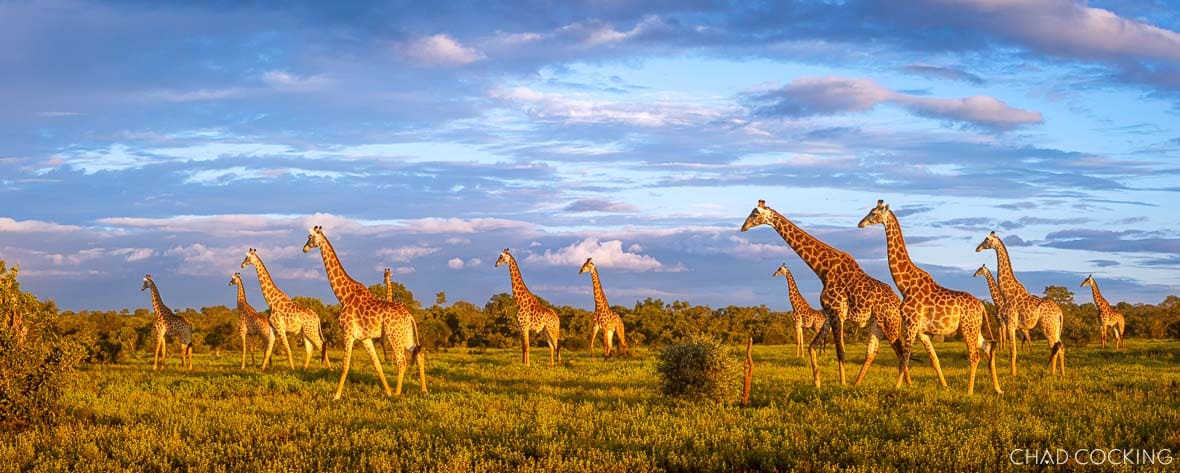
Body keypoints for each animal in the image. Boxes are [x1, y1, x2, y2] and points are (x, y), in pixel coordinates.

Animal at [303, 226, 426, 399]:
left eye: (309, 237)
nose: (304, 248)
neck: (344, 296)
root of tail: (409, 316)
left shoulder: (348, 332)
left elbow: (345, 365)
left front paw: (336, 396)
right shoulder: (365, 338)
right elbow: (377, 364)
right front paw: (387, 392)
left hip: (394, 335)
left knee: (402, 361)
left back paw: (398, 393)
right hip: (406, 335)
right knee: (419, 355)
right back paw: (423, 390)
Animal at [741, 200, 909, 388]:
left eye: (755, 214)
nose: (743, 227)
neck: (823, 270)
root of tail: (898, 304)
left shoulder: (837, 313)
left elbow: (840, 351)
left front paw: (842, 384)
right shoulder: (829, 315)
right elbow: (812, 346)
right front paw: (817, 382)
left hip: (889, 323)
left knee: (901, 353)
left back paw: (900, 386)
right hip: (877, 324)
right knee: (875, 352)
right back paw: (862, 384)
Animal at [859, 201, 1002, 394]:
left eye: (873, 213)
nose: (861, 223)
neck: (905, 286)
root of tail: (981, 306)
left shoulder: (911, 324)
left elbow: (904, 358)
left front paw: (896, 389)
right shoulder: (922, 331)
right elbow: (933, 359)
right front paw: (945, 386)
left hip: (967, 329)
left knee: (974, 356)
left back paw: (969, 391)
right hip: (973, 329)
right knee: (987, 348)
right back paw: (998, 389)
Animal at [976, 231, 1065, 376]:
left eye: (987, 240)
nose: (977, 248)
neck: (1007, 293)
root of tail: (1060, 313)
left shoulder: (1010, 323)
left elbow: (1013, 350)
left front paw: (1013, 374)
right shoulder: (1011, 324)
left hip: (1048, 327)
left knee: (1055, 347)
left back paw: (1053, 373)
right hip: (1055, 328)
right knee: (1059, 347)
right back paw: (1060, 373)